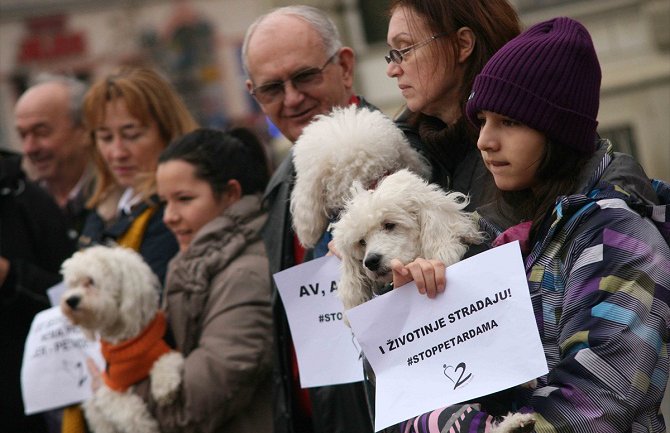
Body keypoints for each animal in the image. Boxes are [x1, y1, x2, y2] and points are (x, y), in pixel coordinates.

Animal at [60, 246, 185, 432]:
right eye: (73, 284)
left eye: (91, 281)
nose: (71, 300)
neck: (128, 341)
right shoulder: (108, 387)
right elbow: (126, 411)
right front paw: (144, 426)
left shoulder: (168, 348)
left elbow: (166, 360)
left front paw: (165, 386)